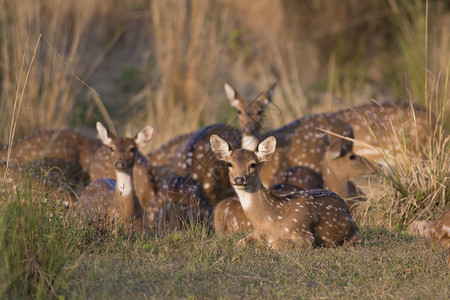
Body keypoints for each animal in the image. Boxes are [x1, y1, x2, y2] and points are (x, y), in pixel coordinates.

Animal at [209, 134, 360, 248]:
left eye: (253, 164)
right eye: (229, 164)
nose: (239, 179)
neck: (270, 223)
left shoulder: (305, 235)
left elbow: (274, 245)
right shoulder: (254, 232)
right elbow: (239, 242)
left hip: (355, 233)